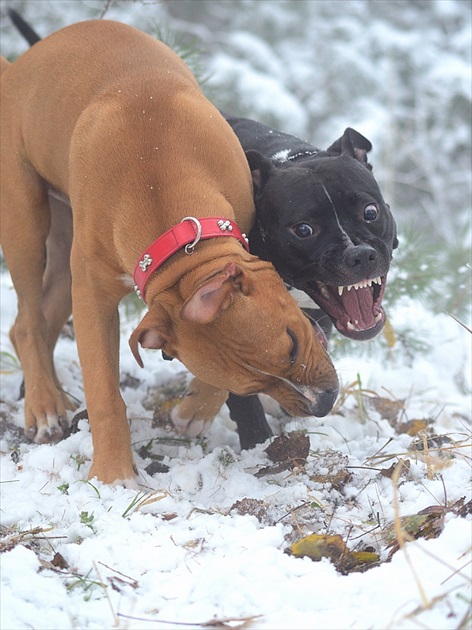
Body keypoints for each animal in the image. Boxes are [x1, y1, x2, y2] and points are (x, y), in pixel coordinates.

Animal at [8, 11, 398, 454]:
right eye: (304, 229)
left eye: (370, 211)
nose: (358, 255)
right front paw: (253, 441)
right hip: (27, 221)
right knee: (29, 317)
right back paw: (43, 403)